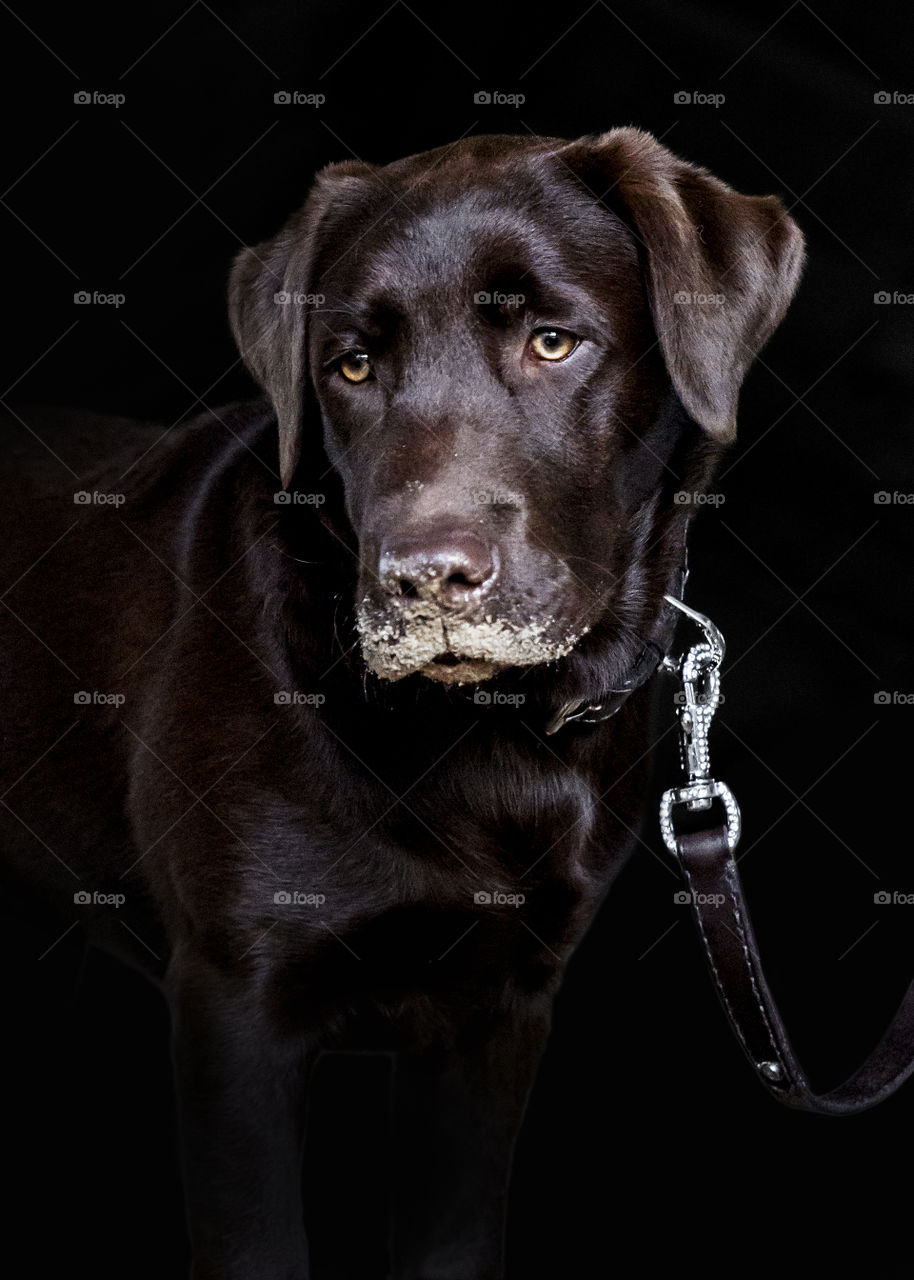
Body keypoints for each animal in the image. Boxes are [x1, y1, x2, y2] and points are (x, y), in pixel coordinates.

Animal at [1, 122, 798, 1280]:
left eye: (553, 342)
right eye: (352, 365)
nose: (422, 580)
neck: (484, 734)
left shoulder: (498, 1012)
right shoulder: (233, 1002)